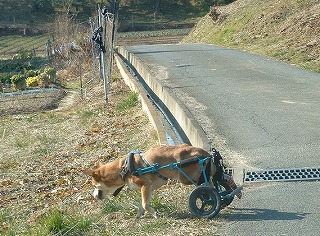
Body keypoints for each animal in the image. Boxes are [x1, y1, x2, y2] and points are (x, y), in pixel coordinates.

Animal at [84, 144, 216, 219]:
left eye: (94, 185)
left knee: (209, 188)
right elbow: (142, 204)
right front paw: (138, 216)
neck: (122, 169)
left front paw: (154, 214)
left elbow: (144, 205)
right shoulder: (148, 189)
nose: (93, 195)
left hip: (187, 178)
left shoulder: (146, 185)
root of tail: (204, 153)